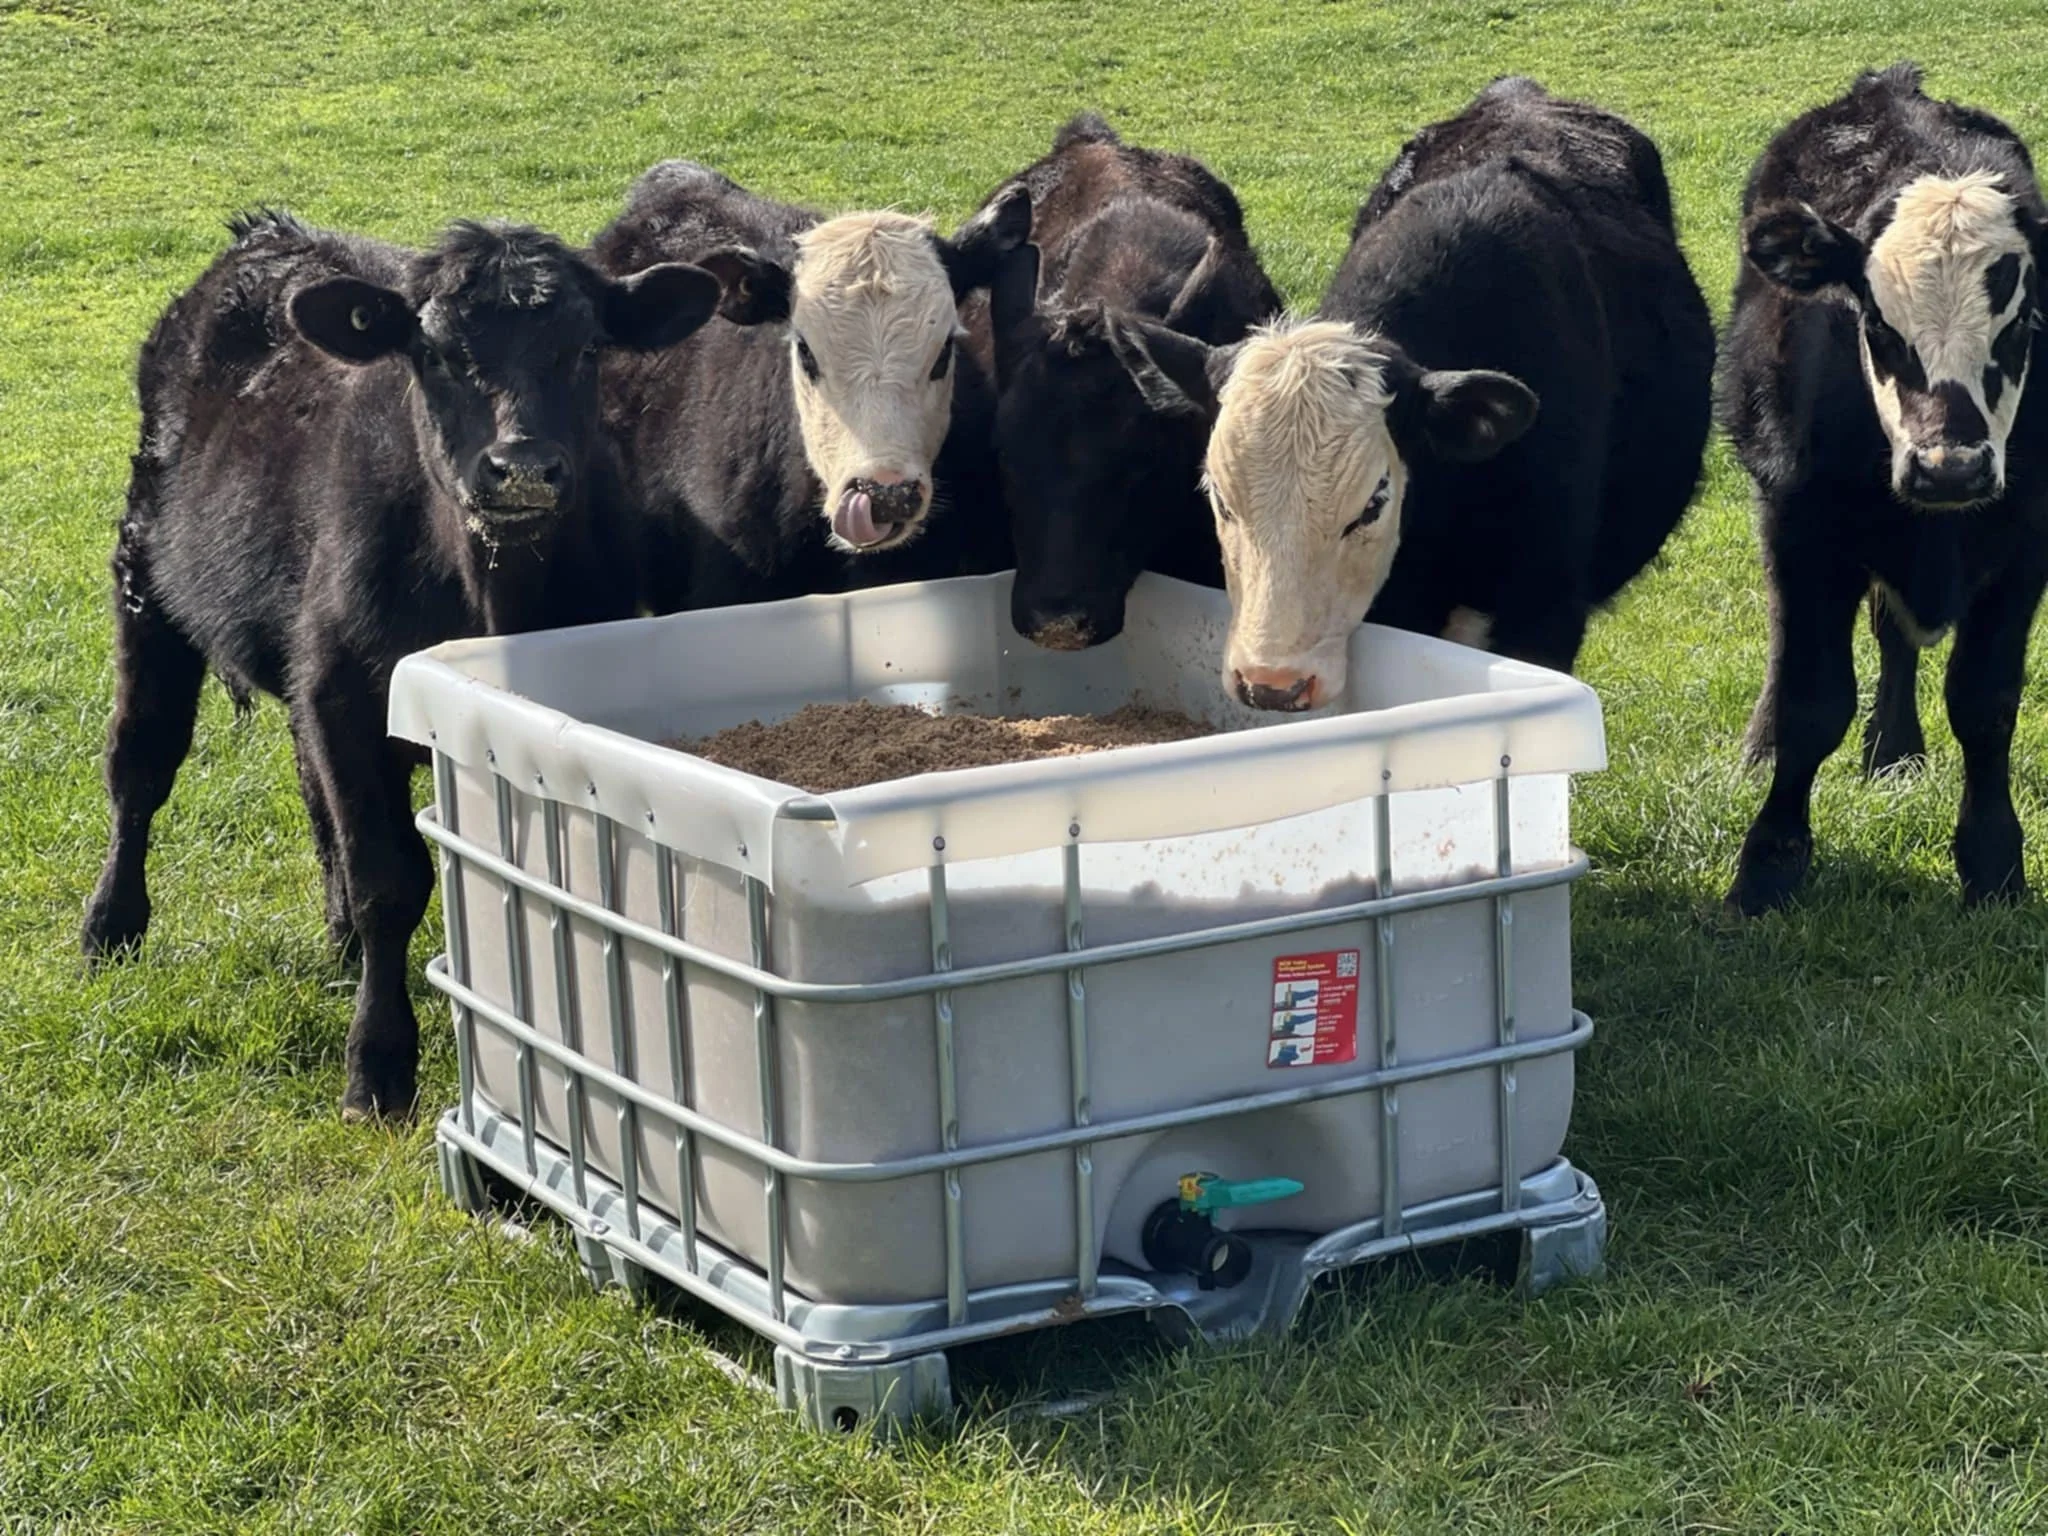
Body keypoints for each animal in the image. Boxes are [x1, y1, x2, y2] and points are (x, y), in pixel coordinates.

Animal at [80, 211, 723, 1120]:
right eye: (436, 353)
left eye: (587, 348)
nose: (522, 468)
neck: (487, 591)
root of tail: (264, 231)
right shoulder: (347, 694)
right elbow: (389, 880)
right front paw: (377, 1064)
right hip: (143, 580)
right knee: (139, 763)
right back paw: (111, 925)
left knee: (305, 783)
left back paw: (338, 937)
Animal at [1720, 63, 2048, 914]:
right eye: (1875, 322)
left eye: (2022, 320)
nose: (1949, 468)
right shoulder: (1804, 524)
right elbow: (1812, 699)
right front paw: (1766, 865)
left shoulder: (2028, 543)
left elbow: (1985, 702)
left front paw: (1993, 862)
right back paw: (1763, 746)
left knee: (1895, 638)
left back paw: (1895, 751)